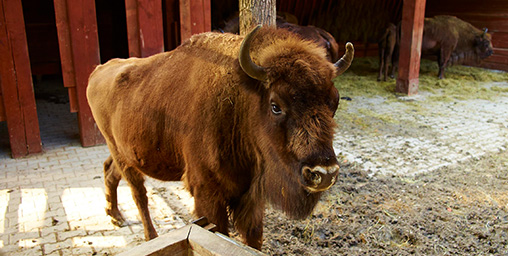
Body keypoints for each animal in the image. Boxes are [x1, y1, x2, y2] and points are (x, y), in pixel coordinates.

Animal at [86, 25, 354, 249]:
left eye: (335, 102)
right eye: (276, 106)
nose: (323, 174)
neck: (239, 101)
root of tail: (98, 71)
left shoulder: (251, 196)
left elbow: (254, 238)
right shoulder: (207, 192)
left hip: (125, 153)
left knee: (110, 172)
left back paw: (115, 216)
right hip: (121, 153)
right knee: (138, 193)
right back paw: (149, 236)